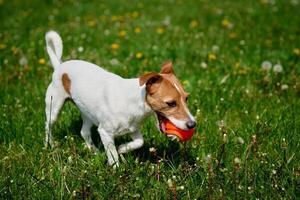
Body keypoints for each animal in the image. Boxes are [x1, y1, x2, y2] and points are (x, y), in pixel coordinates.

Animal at [44, 30, 195, 166]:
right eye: (171, 103)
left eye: (186, 98)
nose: (192, 124)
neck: (135, 102)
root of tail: (59, 65)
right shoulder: (105, 132)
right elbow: (113, 156)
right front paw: (116, 169)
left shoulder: (133, 129)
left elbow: (139, 142)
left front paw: (122, 148)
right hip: (54, 107)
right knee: (48, 126)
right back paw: (48, 145)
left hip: (88, 112)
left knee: (84, 132)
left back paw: (95, 151)